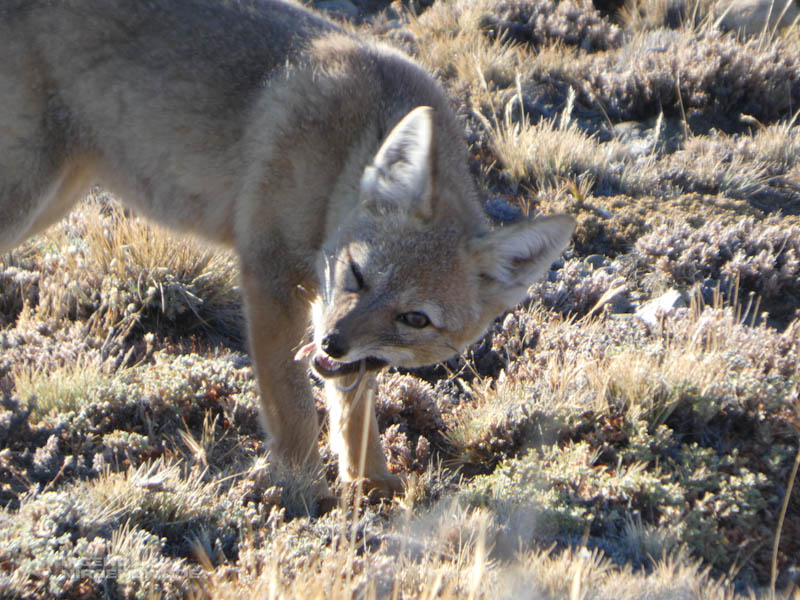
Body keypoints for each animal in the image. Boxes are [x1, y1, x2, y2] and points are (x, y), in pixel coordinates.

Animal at [0, 0, 575, 506]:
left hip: (57, 195)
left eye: (415, 319)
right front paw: (302, 487)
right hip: (28, 200)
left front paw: (370, 482)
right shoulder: (269, 277)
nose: (334, 341)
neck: (344, 159)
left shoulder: (341, 341)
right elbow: (294, 403)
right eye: (357, 274)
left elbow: (355, 412)